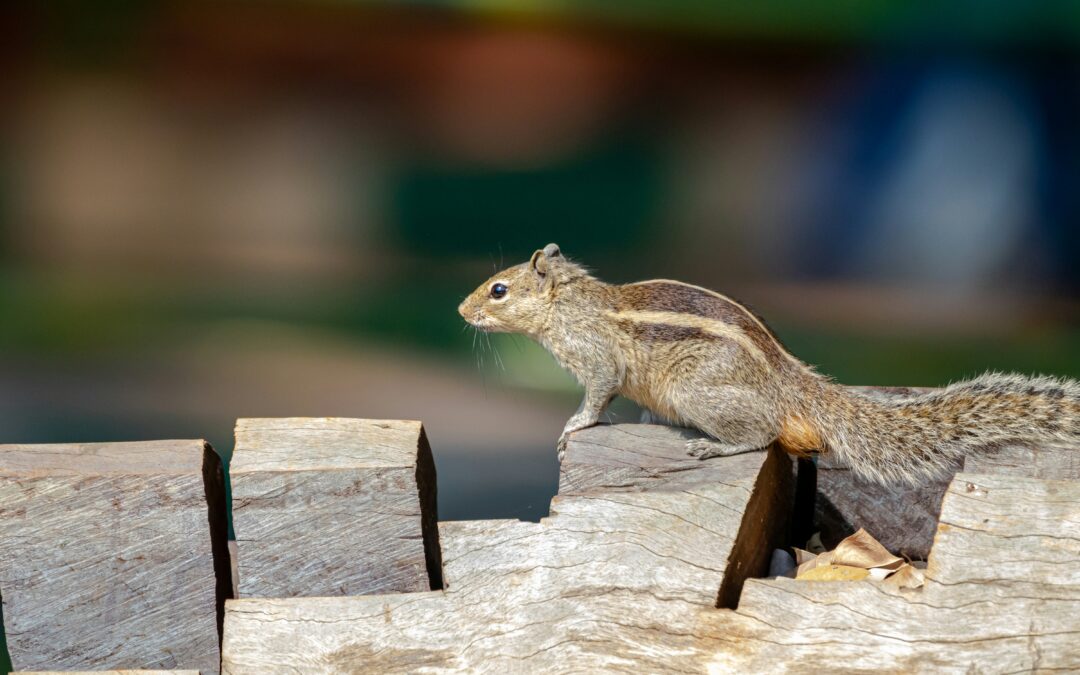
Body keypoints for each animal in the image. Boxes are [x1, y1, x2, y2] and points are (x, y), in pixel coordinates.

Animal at [458, 243, 1080, 485]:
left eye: (498, 290)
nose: (461, 310)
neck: (571, 305)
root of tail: (789, 384)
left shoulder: (597, 360)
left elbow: (597, 396)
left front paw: (573, 427)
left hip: (703, 393)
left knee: (761, 434)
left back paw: (715, 446)